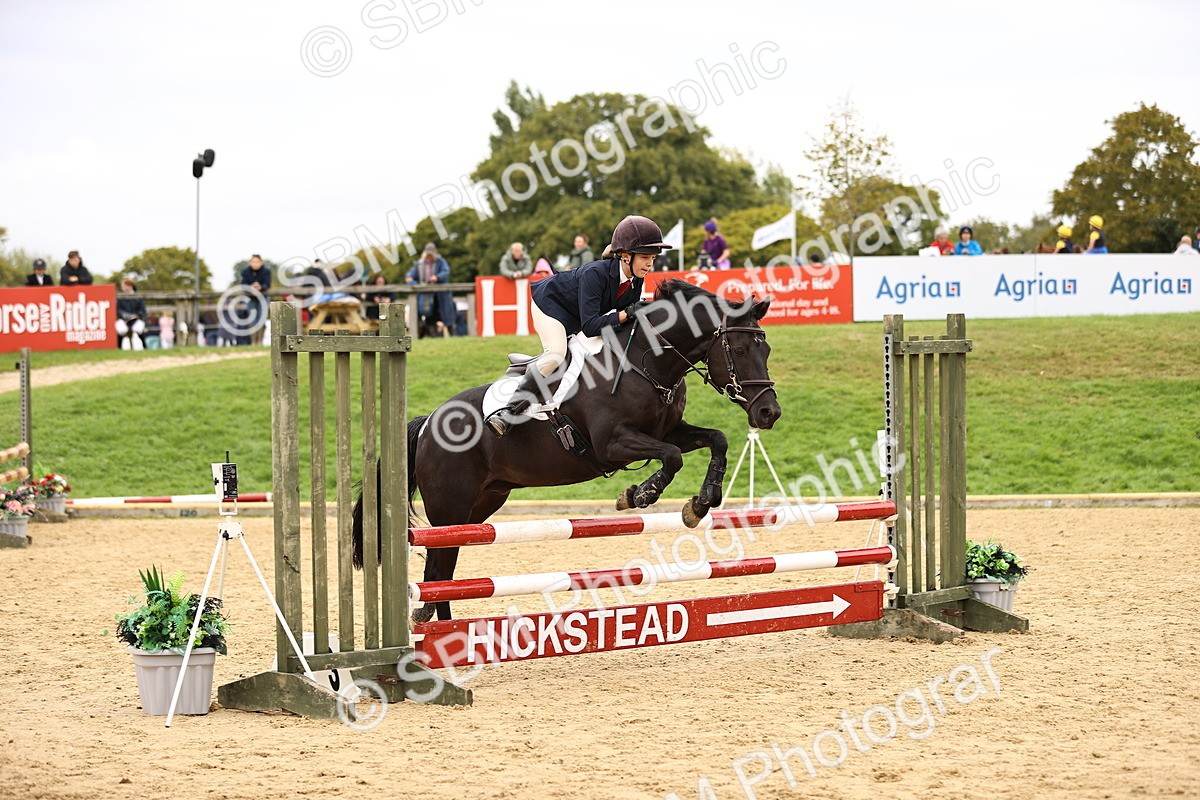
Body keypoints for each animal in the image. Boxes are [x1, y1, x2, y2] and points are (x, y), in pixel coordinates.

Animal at [353, 279, 783, 622]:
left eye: (767, 350)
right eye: (739, 350)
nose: (769, 413)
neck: (646, 363)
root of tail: (428, 422)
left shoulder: (671, 431)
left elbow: (716, 440)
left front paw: (702, 502)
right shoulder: (612, 443)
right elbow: (671, 458)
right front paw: (639, 495)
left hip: (483, 503)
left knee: (444, 568)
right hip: (450, 508)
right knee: (438, 569)